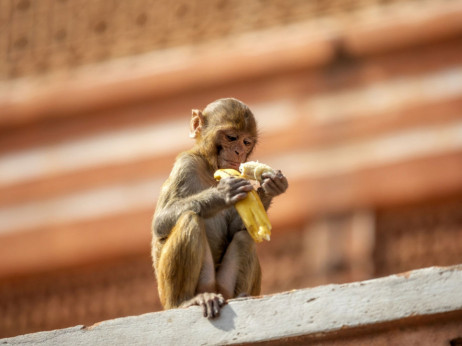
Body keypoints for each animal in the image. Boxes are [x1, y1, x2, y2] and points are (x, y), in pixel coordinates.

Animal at [152, 97, 288, 318]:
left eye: (246, 142)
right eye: (231, 138)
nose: (239, 152)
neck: (210, 168)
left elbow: (237, 229)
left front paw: (271, 187)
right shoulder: (186, 164)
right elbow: (160, 223)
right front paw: (221, 193)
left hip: (223, 286)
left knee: (244, 237)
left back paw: (240, 297)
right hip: (172, 294)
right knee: (190, 219)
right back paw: (186, 301)